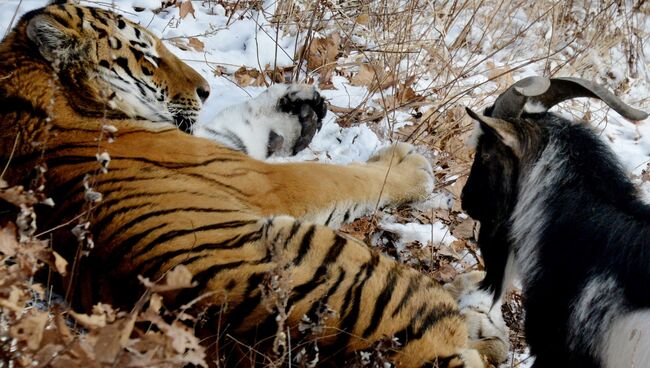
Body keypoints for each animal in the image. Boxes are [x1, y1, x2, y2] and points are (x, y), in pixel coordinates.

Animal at [0, 3, 506, 368]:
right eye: (145, 56)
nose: (205, 89)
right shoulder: (262, 180)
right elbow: (341, 177)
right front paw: (412, 169)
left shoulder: (221, 144)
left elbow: (244, 125)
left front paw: (297, 105)